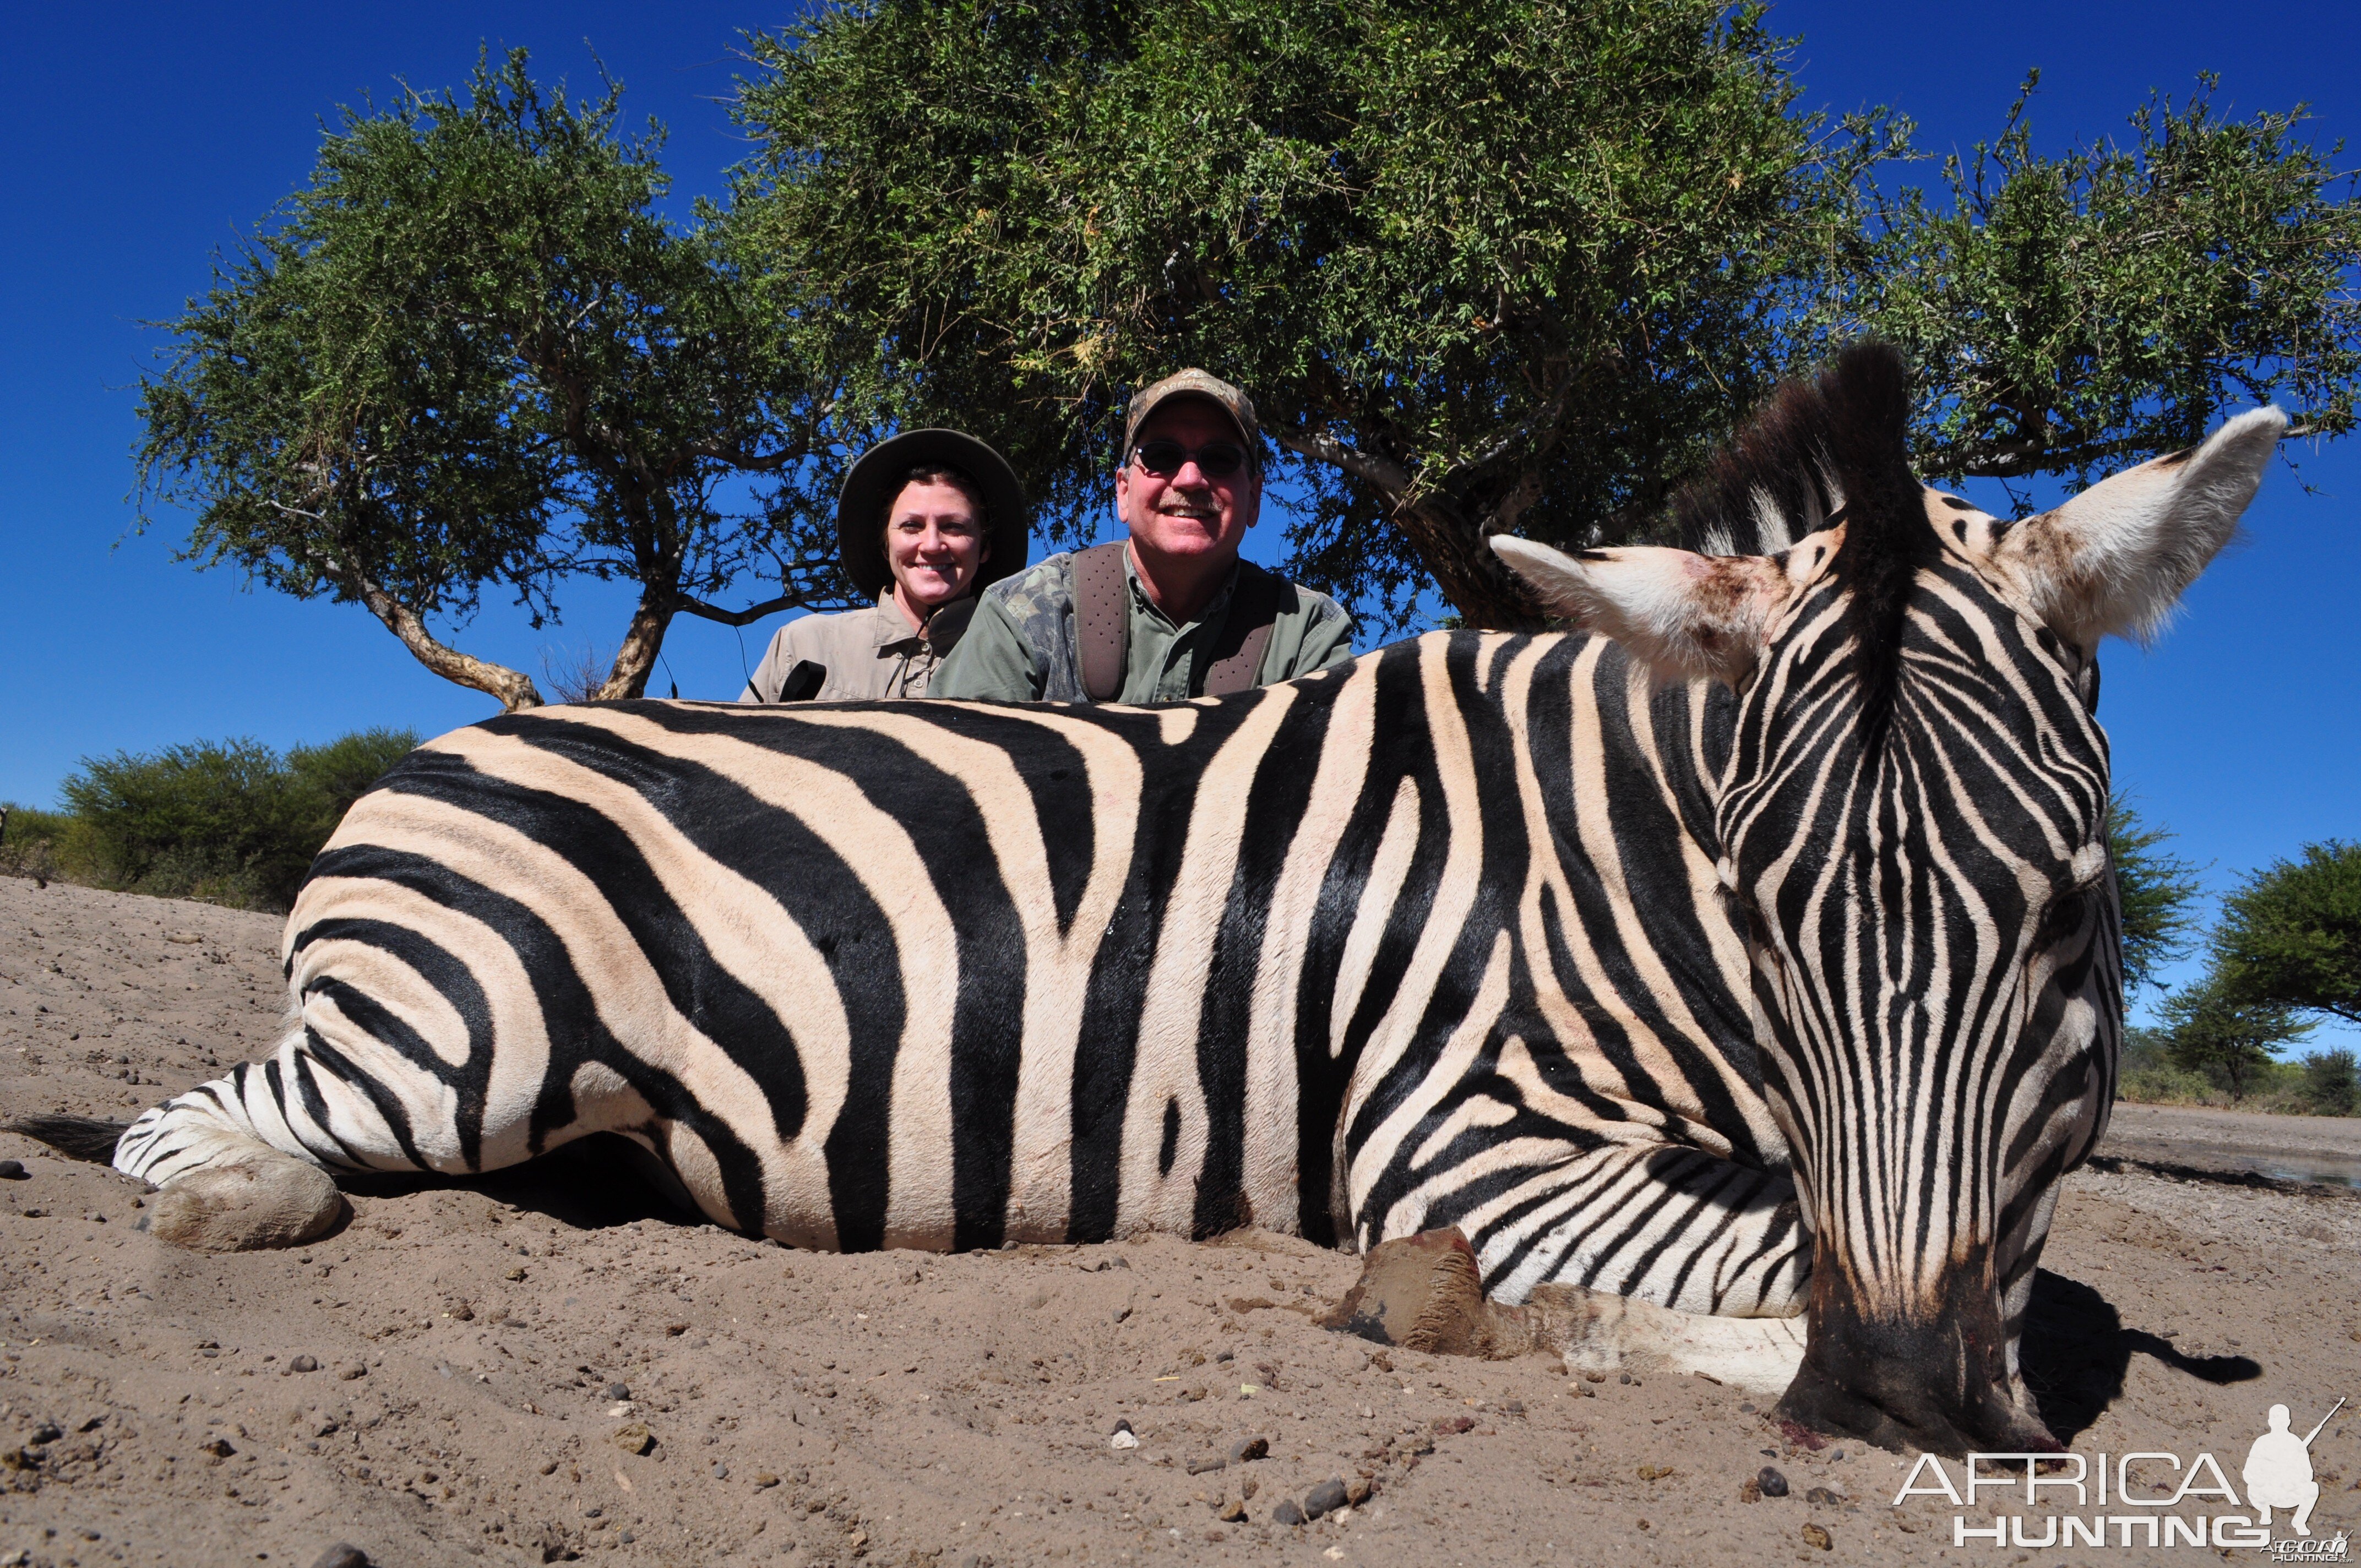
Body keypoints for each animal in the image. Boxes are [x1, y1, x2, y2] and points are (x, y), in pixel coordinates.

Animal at [14, 347, 2266, 1455]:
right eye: (1763, 897)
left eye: (2072, 909)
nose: (1889, 1411)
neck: (1614, 872)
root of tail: (442, 750)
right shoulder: (1462, 1133)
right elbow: (1851, 1276)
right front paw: (1472, 1309)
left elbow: (2018, 1277)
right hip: (455, 1030)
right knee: (199, 1124)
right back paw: (240, 1202)